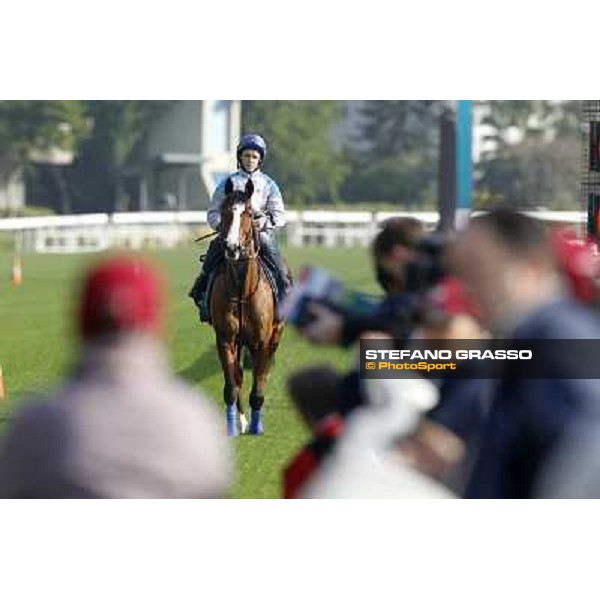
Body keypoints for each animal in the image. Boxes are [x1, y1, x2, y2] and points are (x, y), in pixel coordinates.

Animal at [211, 176, 286, 434]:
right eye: (224, 210)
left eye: (249, 212)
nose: (232, 248)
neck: (242, 291)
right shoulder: (226, 339)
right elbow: (231, 386)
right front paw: (234, 427)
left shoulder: (261, 342)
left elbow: (258, 387)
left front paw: (256, 426)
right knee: (239, 377)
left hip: (273, 337)